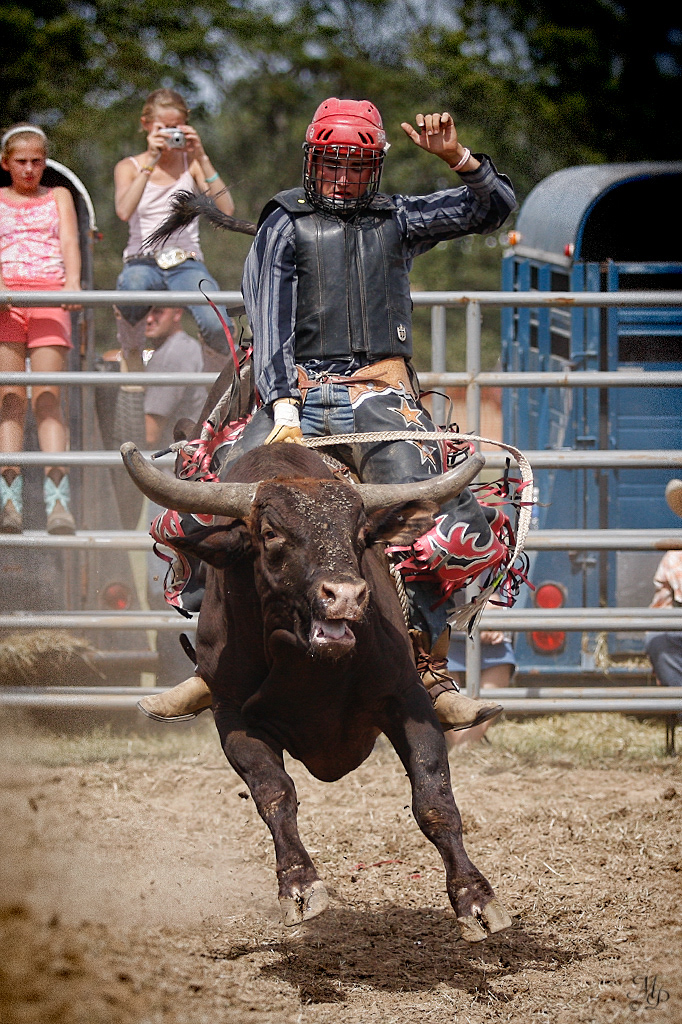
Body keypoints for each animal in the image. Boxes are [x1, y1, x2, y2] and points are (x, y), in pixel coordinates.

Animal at [121, 440, 512, 942]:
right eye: (270, 533)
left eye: (360, 535)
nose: (344, 595)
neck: (311, 666)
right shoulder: (233, 716)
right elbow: (274, 793)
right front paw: (299, 887)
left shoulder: (407, 700)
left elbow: (434, 799)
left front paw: (475, 899)